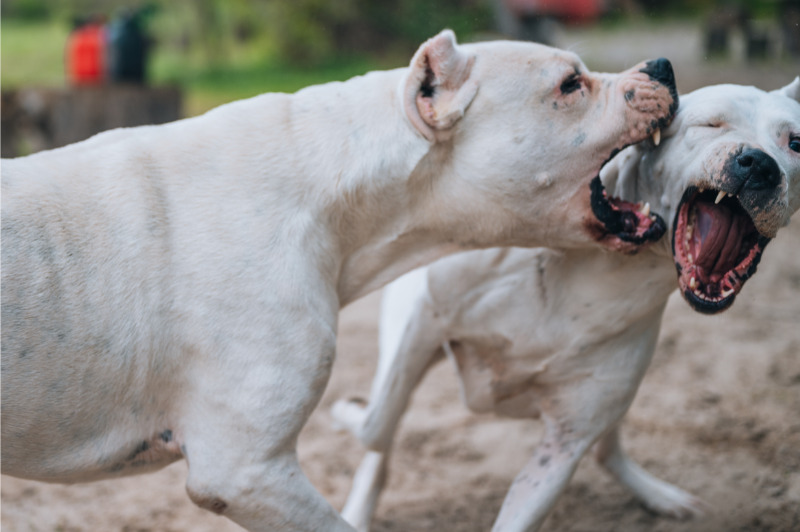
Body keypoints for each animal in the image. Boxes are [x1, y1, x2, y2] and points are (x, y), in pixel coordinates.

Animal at [332, 79, 800, 532]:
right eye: (711, 124)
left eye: (795, 142)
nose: (758, 164)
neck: (608, 265)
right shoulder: (425, 318)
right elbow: (375, 426)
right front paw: (349, 413)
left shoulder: (563, 446)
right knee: (380, 440)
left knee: (607, 450)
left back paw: (660, 496)